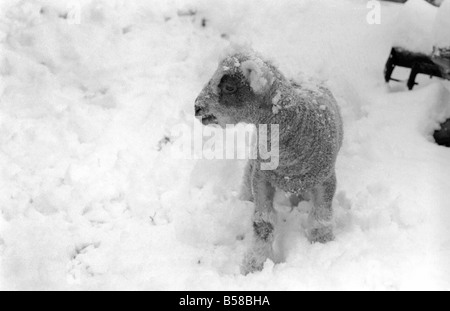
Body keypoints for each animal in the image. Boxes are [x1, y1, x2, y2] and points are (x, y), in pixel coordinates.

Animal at [194, 47, 344, 276]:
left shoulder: (326, 179)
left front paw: (323, 245)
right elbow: (263, 224)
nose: (197, 107)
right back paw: (245, 199)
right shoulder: (262, 177)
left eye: (229, 87)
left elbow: (321, 218)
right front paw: (253, 265)